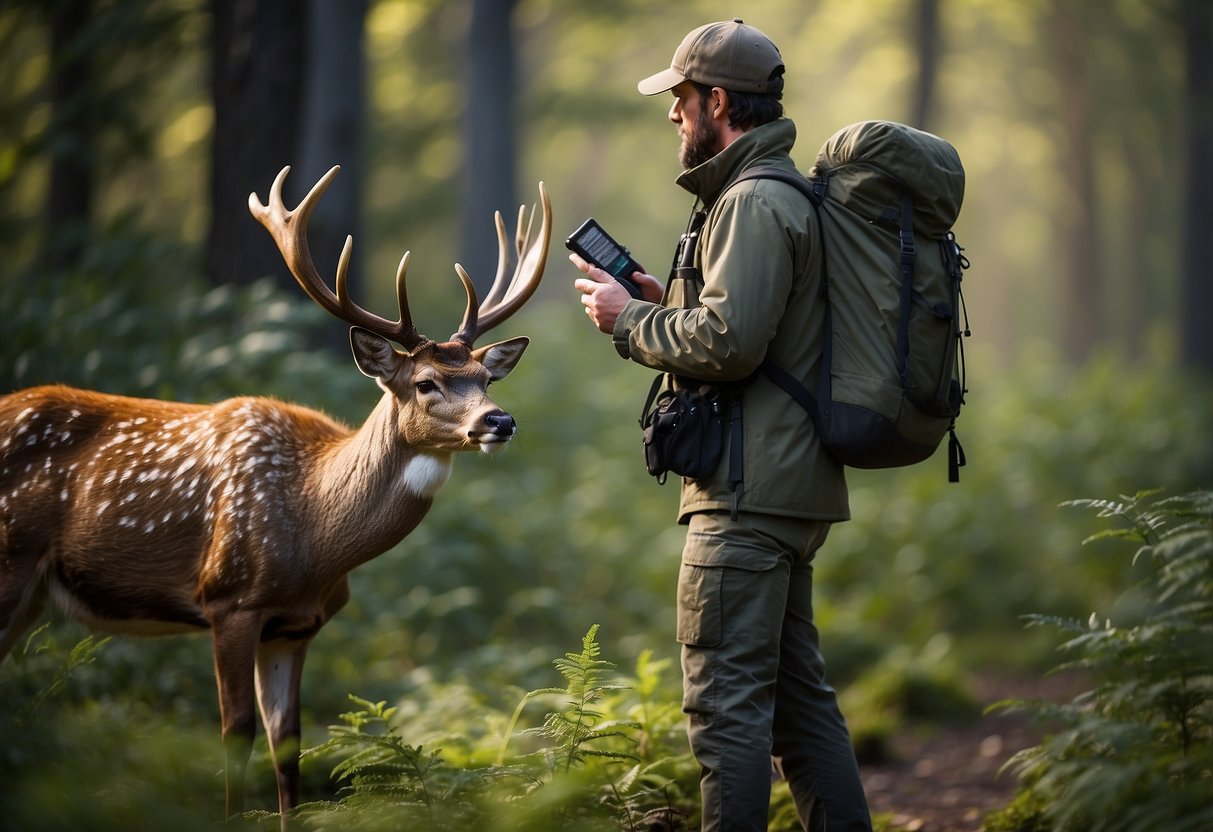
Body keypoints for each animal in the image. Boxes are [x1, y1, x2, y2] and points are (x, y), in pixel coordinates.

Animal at [0, 164, 555, 829]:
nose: (500, 421)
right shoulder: (229, 599)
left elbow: (287, 745)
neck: (312, 536)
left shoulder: (296, 625)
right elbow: (235, 732)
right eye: (426, 383)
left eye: (485, 376)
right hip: (9, 560)